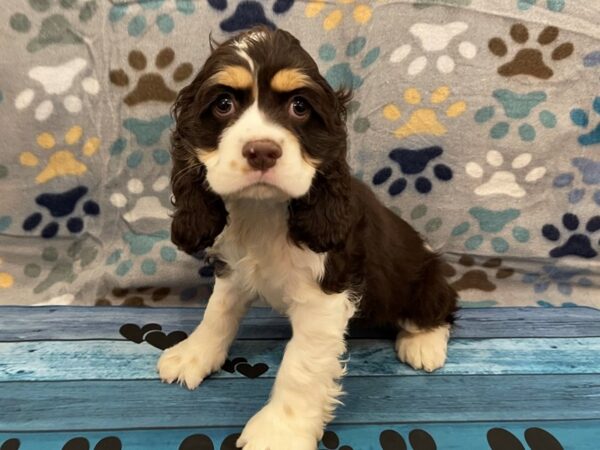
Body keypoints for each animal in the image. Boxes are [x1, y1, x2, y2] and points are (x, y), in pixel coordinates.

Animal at [157, 26, 458, 450]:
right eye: (223, 104)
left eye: (300, 107)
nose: (262, 151)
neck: (265, 212)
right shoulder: (234, 270)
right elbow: (218, 311)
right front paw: (194, 354)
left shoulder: (325, 296)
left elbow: (300, 366)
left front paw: (278, 432)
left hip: (424, 276)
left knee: (442, 305)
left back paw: (423, 343)